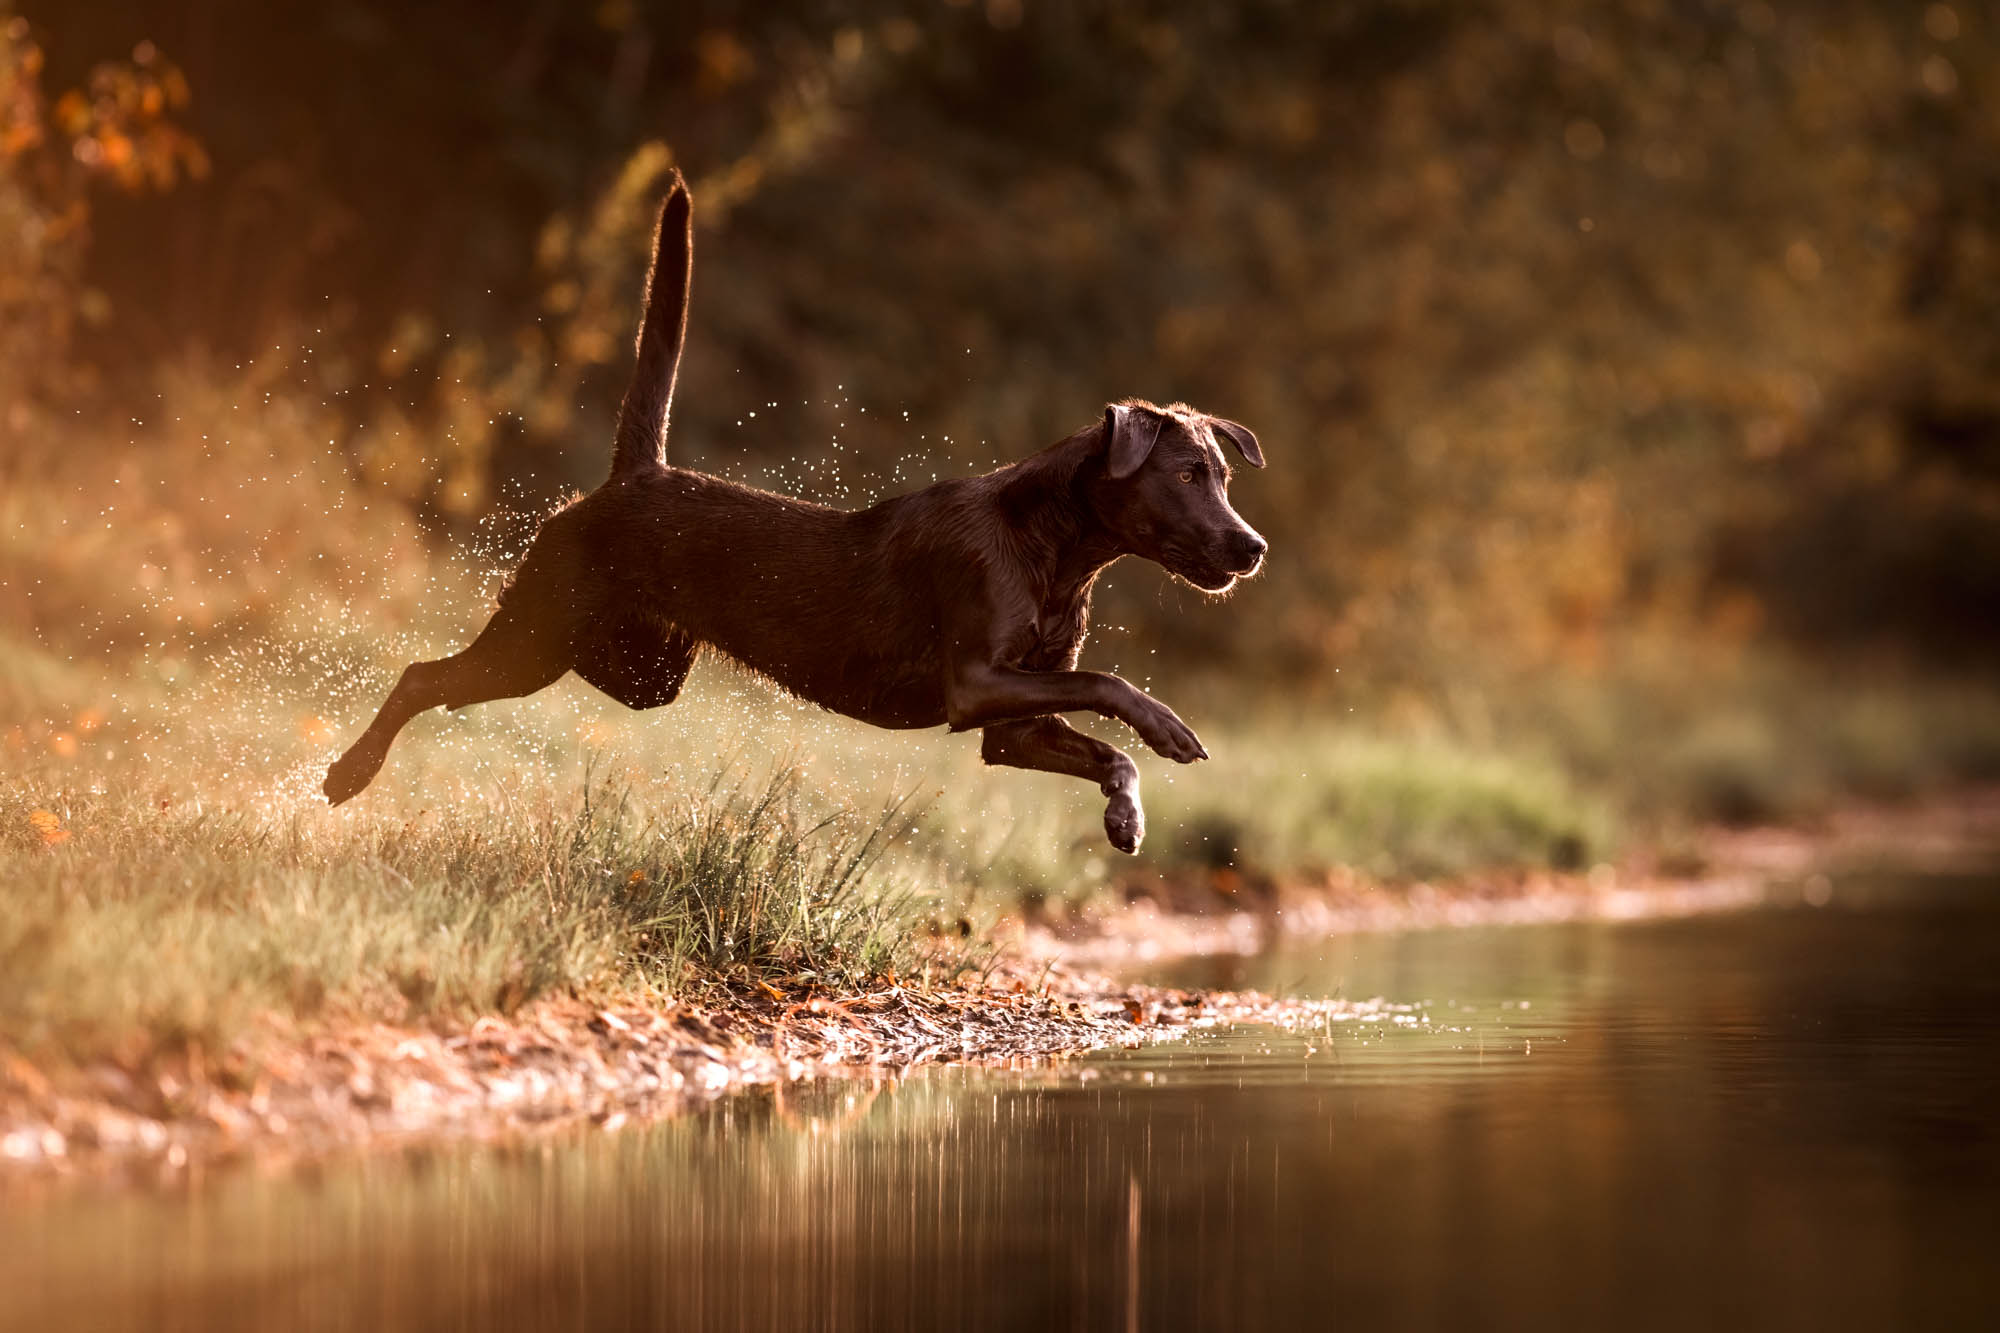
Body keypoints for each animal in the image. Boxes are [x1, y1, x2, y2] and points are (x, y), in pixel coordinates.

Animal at [326, 171, 1264, 844]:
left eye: (1224, 473)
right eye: (1187, 474)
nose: (1252, 546)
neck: (1055, 552)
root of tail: (636, 475)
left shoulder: (1013, 728)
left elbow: (1105, 744)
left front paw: (1125, 812)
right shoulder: (975, 682)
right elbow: (1106, 681)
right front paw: (1168, 725)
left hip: (641, 667)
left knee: (506, 679)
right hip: (537, 634)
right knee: (423, 677)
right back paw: (349, 772)